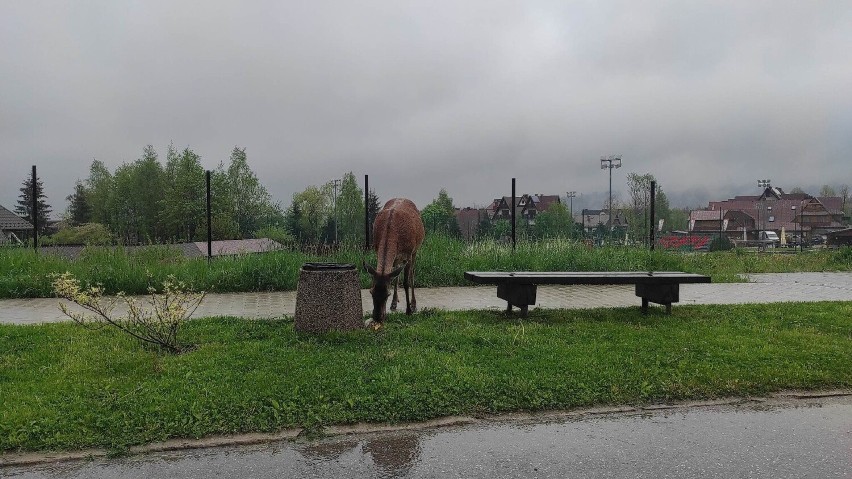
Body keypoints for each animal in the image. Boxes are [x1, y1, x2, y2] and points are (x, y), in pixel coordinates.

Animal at [362, 199, 426, 330]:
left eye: (387, 294)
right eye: (371, 292)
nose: (377, 317)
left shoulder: (408, 254)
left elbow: (406, 283)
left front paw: (408, 310)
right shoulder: (377, 251)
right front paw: (391, 305)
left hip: (415, 251)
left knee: (412, 274)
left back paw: (413, 304)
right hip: (397, 259)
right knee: (396, 275)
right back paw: (394, 303)